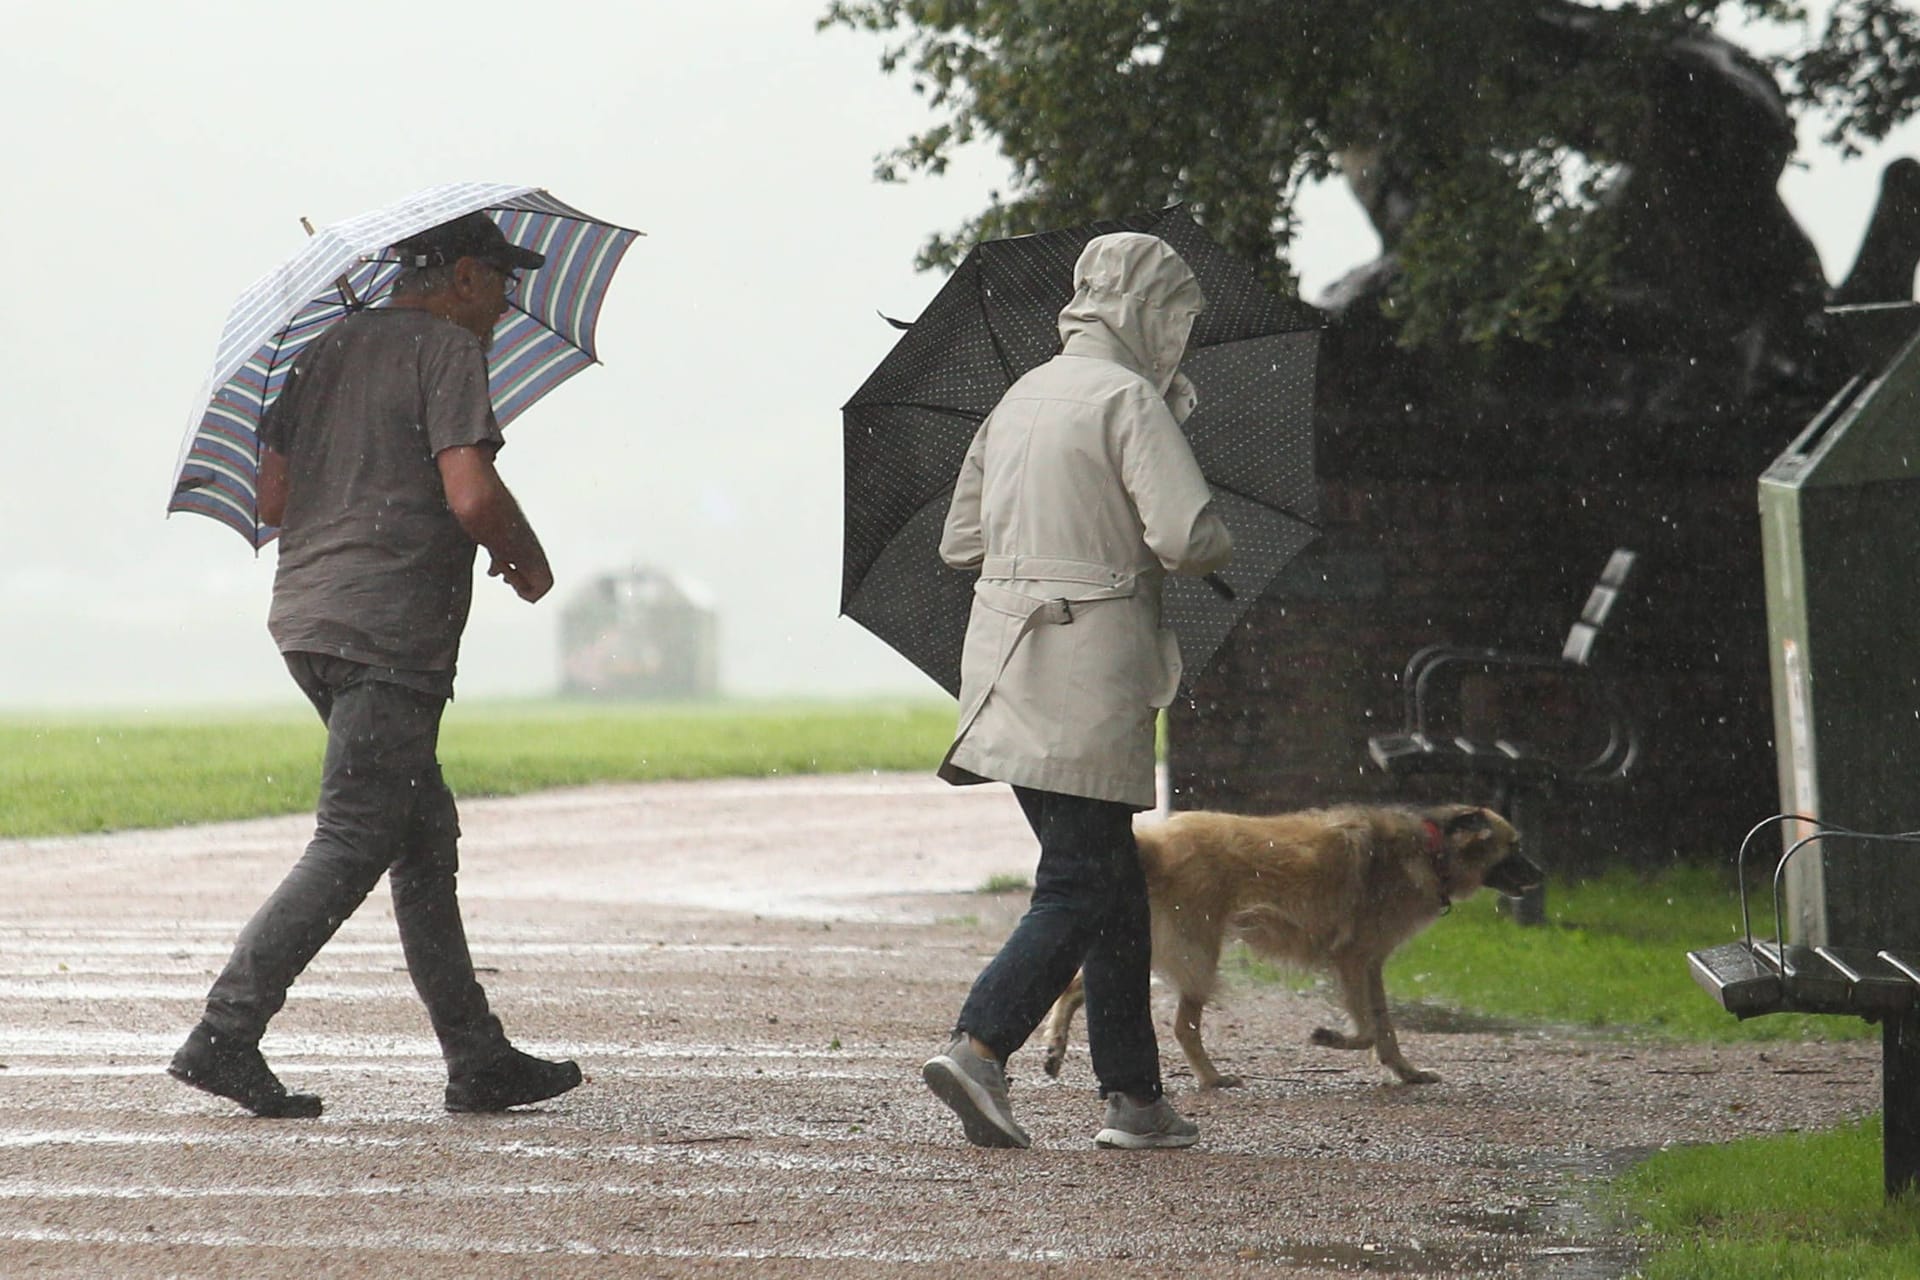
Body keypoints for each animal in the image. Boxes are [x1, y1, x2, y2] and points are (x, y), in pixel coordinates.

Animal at [1044, 805, 1536, 1090]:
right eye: (1513, 845)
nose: (1541, 877)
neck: (1431, 851)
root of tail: (1157, 843)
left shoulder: (1370, 964)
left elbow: (1385, 1029)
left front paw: (1406, 1072)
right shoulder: (1352, 959)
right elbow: (1368, 1029)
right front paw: (1330, 1037)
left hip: (1153, 946)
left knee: (1072, 988)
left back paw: (1054, 1049)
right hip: (1198, 955)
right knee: (1183, 1026)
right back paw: (1212, 1078)